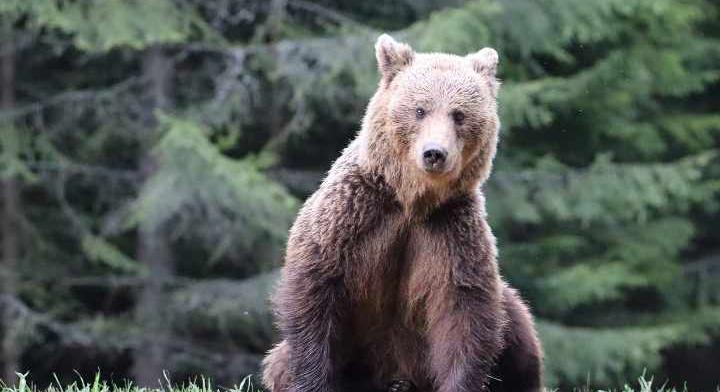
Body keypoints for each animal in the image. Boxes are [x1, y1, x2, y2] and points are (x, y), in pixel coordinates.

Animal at [262, 34, 544, 392]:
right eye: (420, 110)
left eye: (459, 114)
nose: (434, 153)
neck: (411, 200)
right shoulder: (353, 217)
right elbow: (316, 292)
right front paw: (314, 380)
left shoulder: (450, 233)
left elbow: (464, 312)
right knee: (278, 362)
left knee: (518, 326)